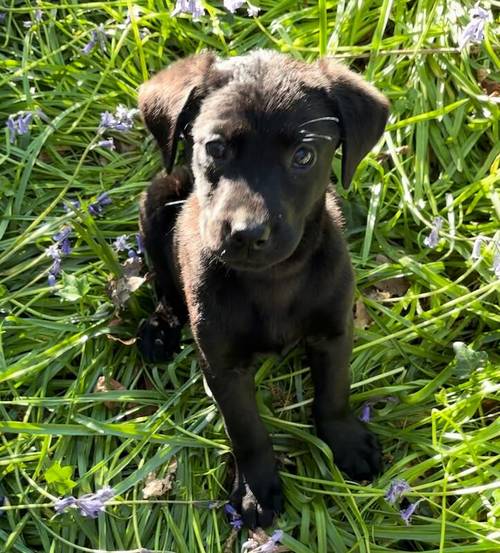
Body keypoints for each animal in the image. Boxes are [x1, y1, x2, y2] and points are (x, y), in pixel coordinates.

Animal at [138, 49, 390, 528]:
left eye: (304, 156)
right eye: (215, 148)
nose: (246, 233)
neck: (272, 279)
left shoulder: (334, 332)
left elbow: (334, 392)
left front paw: (346, 441)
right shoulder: (222, 366)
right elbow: (247, 430)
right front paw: (256, 488)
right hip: (157, 199)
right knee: (162, 282)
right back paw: (158, 329)